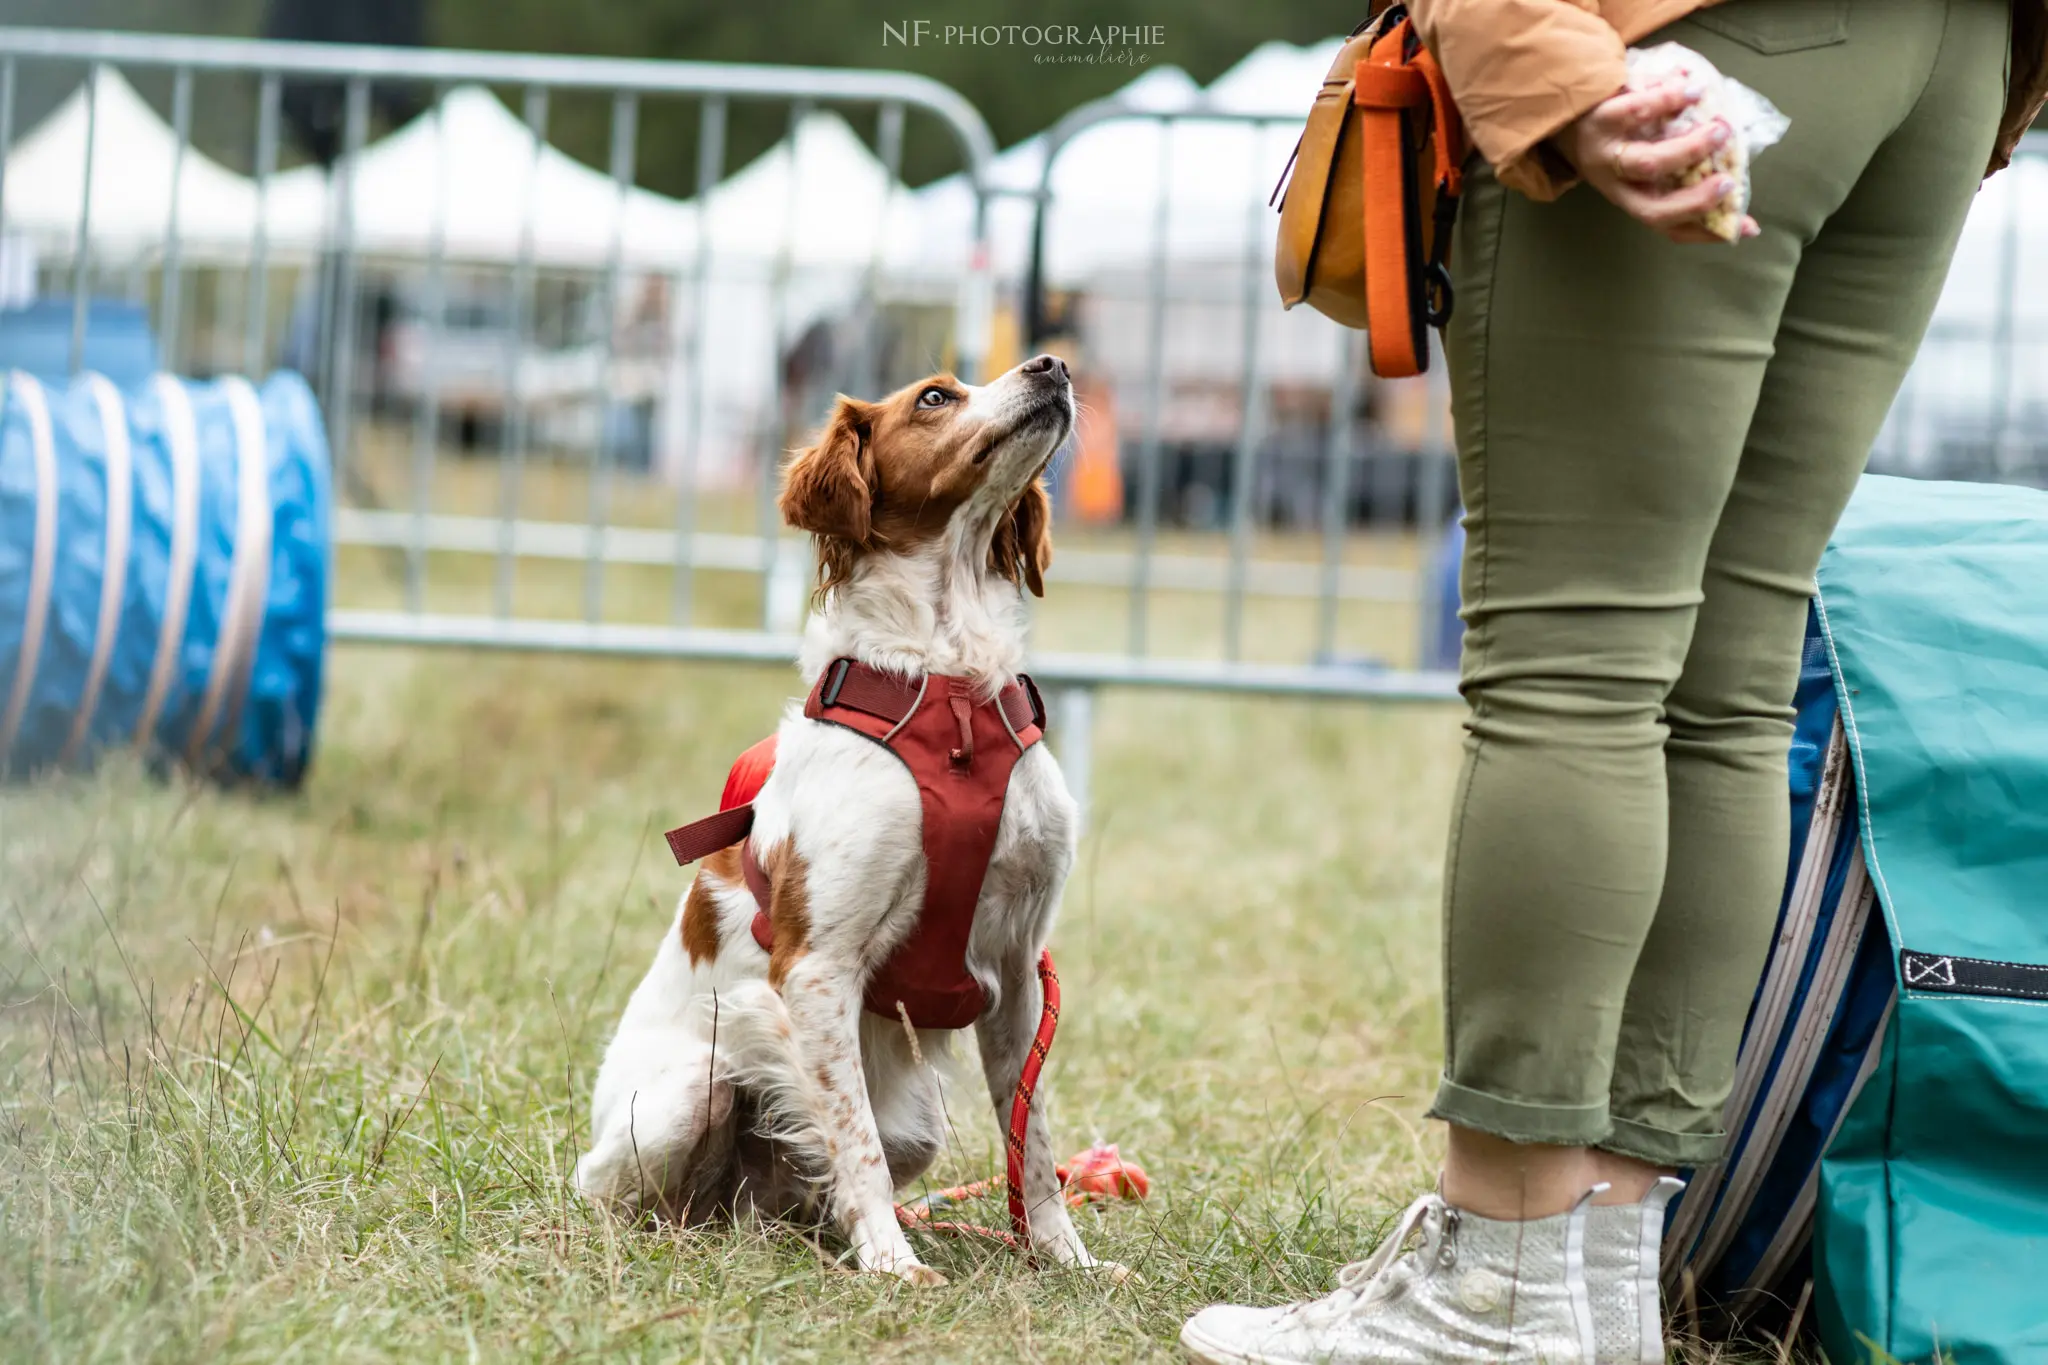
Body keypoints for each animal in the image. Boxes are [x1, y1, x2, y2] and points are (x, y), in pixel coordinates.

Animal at [573, 358, 1105, 1285]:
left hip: (915, 1126)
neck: (949, 693)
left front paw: (1062, 1255)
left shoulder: (1019, 969)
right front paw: (892, 1263)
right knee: (609, 1184)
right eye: (935, 396)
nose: (1052, 364)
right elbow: (854, 1143)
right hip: (688, 1092)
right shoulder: (816, 966)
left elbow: (1031, 1142)